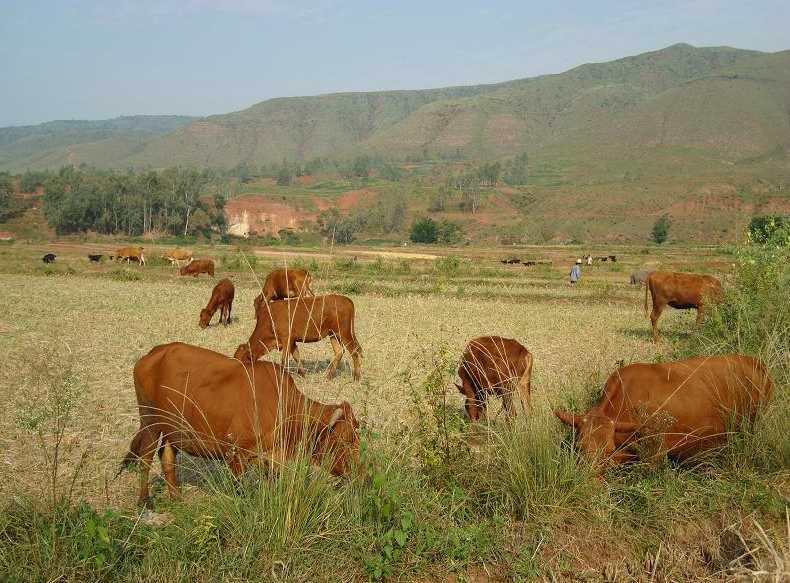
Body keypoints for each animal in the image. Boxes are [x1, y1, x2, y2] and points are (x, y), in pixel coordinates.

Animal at [121, 344, 362, 508]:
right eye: (344, 441)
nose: (359, 474)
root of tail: (155, 352)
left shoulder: (272, 460)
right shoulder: (236, 456)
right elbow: (238, 490)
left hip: (173, 430)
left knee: (168, 458)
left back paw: (176, 497)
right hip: (150, 422)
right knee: (145, 458)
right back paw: (144, 501)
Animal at [232, 294, 362, 380]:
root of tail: (347, 299)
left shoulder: (287, 339)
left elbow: (284, 360)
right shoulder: (293, 341)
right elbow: (296, 357)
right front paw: (303, 375)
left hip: (345, 333)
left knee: (354, 351)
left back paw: (357, 377)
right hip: (333, 334)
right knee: (339, 352)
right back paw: (329, 376)